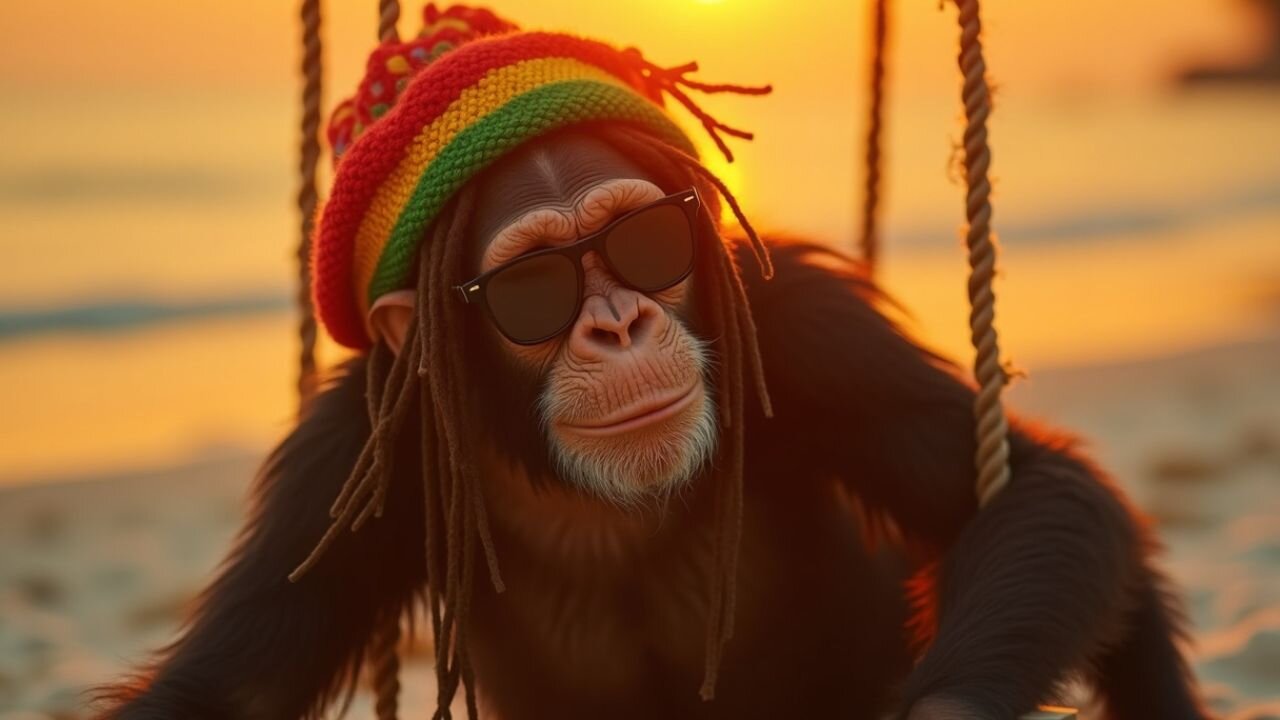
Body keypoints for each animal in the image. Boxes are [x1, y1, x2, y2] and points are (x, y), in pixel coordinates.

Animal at [93, 126, 1212, 720]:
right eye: (533, 289)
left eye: (645, 243)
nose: (617, 321)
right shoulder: (349, 449)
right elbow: (231, 683)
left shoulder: (808, 325)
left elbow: (1038, 492)